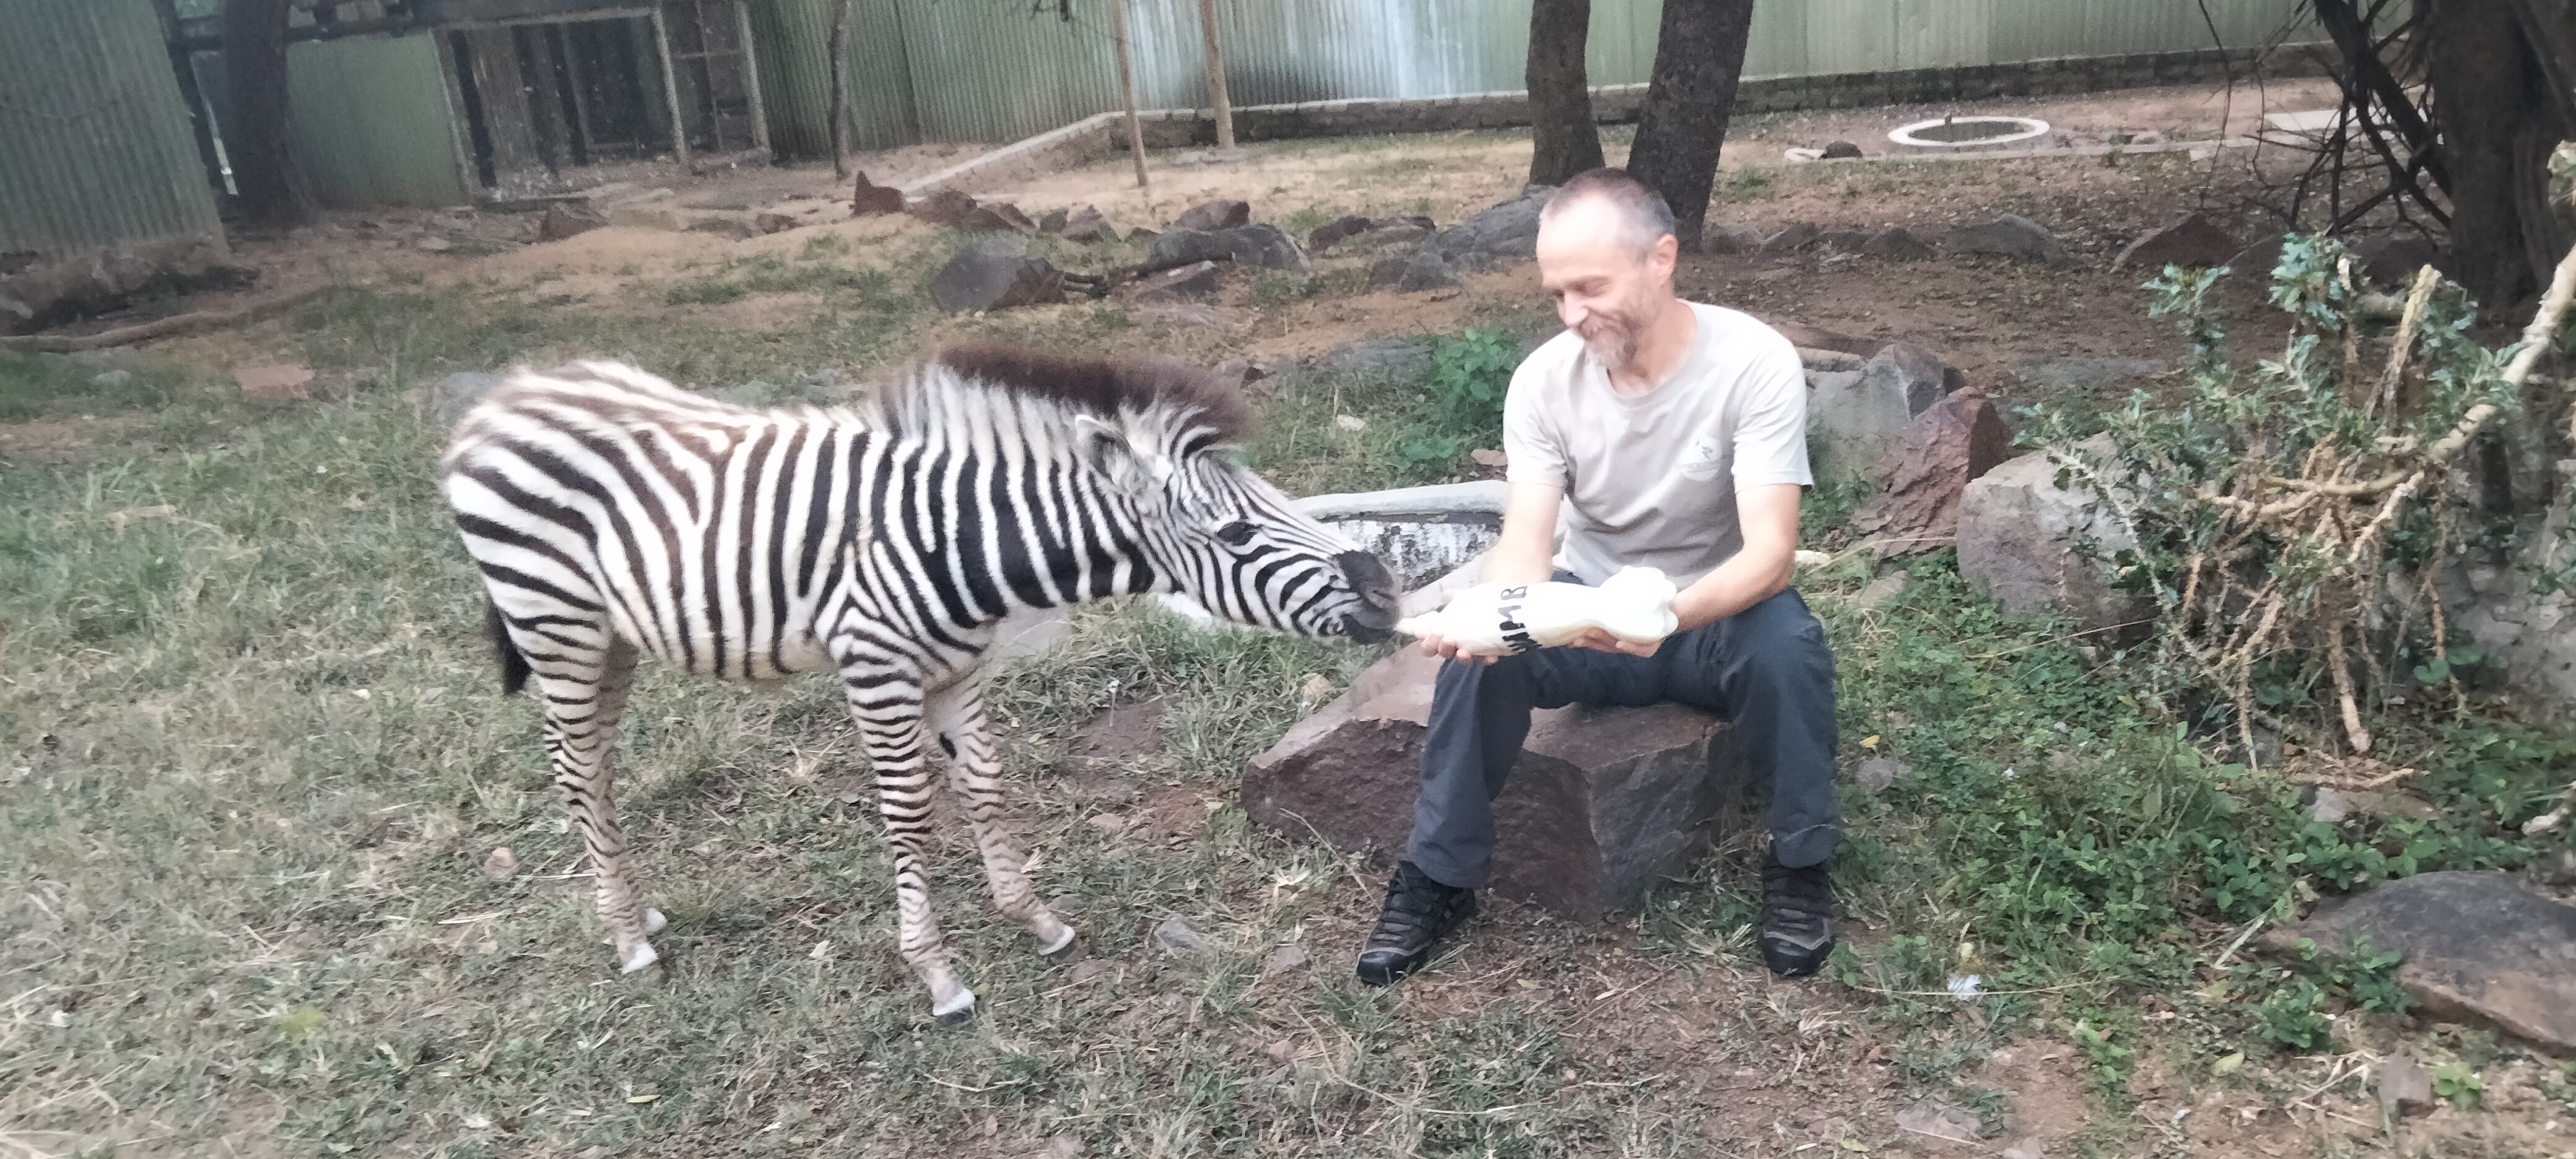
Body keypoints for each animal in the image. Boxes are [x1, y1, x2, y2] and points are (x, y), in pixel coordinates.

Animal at [440, 347, 1399, 1023]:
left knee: (596, 765)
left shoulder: (958, 671)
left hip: (610, 639)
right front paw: (938, 975)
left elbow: (986, 787)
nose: (1388, 589)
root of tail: (499, 400)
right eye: (1236, 533)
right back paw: (626, 939)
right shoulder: (876, 669)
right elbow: (909, 814)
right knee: (578, 769)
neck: (966, 541)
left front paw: (1035, 921)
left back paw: (638, 915)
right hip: (555, 625)